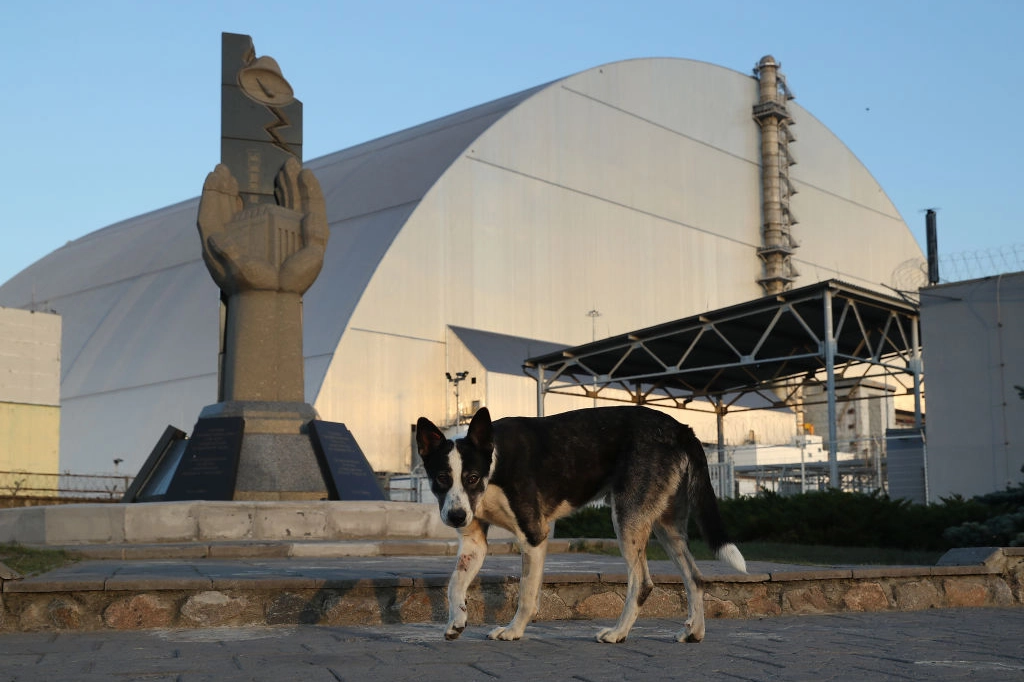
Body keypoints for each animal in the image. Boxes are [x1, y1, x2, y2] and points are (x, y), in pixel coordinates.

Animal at [413, 403, 745, 643]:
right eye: (441, 478)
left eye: (471, 478)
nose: (455, 517)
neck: (495, 463)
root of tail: (681, 428)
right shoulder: (474, 542)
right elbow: (454, 584)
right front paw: (456, 621)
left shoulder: (534, 535)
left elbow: (526, 593)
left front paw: (513, 631)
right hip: (665, 526)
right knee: (695, 578)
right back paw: (694, 632)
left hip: (627, 519)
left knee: (643, 582)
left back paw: (618, 633)